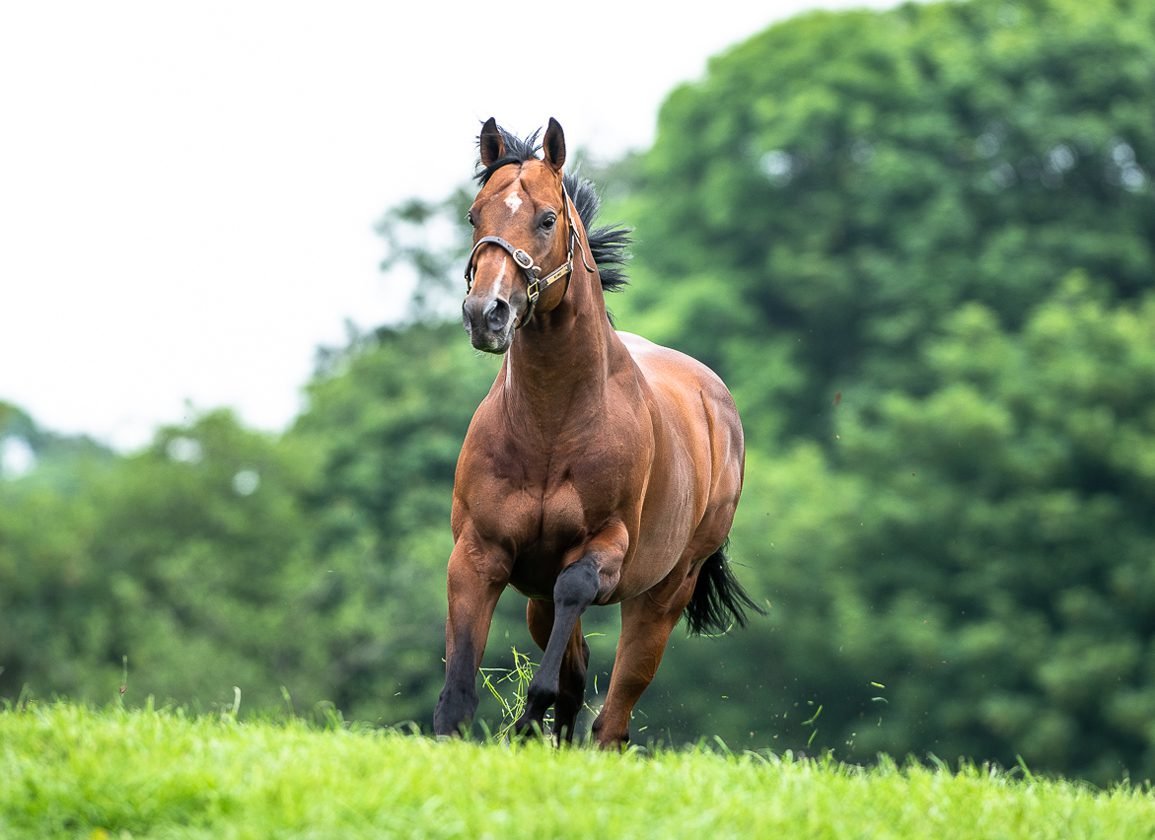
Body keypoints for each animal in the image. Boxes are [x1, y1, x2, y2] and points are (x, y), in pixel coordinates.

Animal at [433, 117, 760, 747]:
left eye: (546, 219)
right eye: (474, 215)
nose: (487, 314)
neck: (550, 427)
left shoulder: (604, 548)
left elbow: (575, 596)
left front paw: (528, 718)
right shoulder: (479, 553)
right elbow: (459, 685)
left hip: (665, 594)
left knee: (615, 712)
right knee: (578, 666)